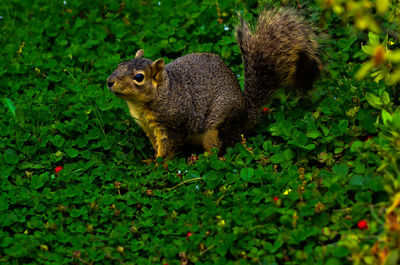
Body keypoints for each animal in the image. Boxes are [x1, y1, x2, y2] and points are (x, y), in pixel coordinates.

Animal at [108, 8, 320, 157]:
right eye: (120, 64)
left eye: (139, 78)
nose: (110, 82)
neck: (162, 93)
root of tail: (246, 114)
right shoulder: (148, 127)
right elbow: (156, 144)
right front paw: (151, 159)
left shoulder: (172, 124)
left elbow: (169, 147)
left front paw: (159, 165)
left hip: (217, 125)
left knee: (216, 150)